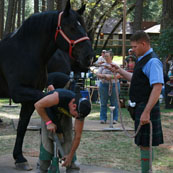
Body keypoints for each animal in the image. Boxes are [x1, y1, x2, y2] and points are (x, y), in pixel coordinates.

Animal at [0, 0, 94, 168]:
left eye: (83, 25)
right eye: (72, 27)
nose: (89, 56)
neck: (24, 53)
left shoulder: (28, 99)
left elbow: (22, 127)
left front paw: (19, 158)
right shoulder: (19, 92)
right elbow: (46, 97)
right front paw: (55, 124)